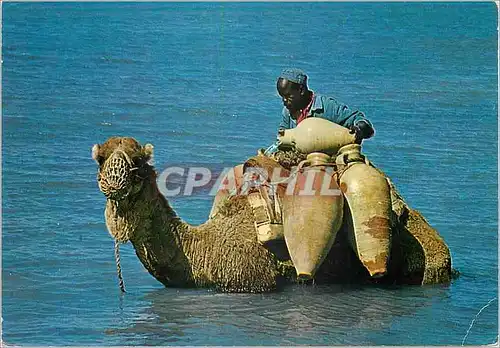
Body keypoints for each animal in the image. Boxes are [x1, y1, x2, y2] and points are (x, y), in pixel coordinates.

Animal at [93, 137, 454, 292]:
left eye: (137, 162)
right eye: (101, 159)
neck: (203, 252)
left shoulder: (254, 283)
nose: (114, 183)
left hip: (426, 265)